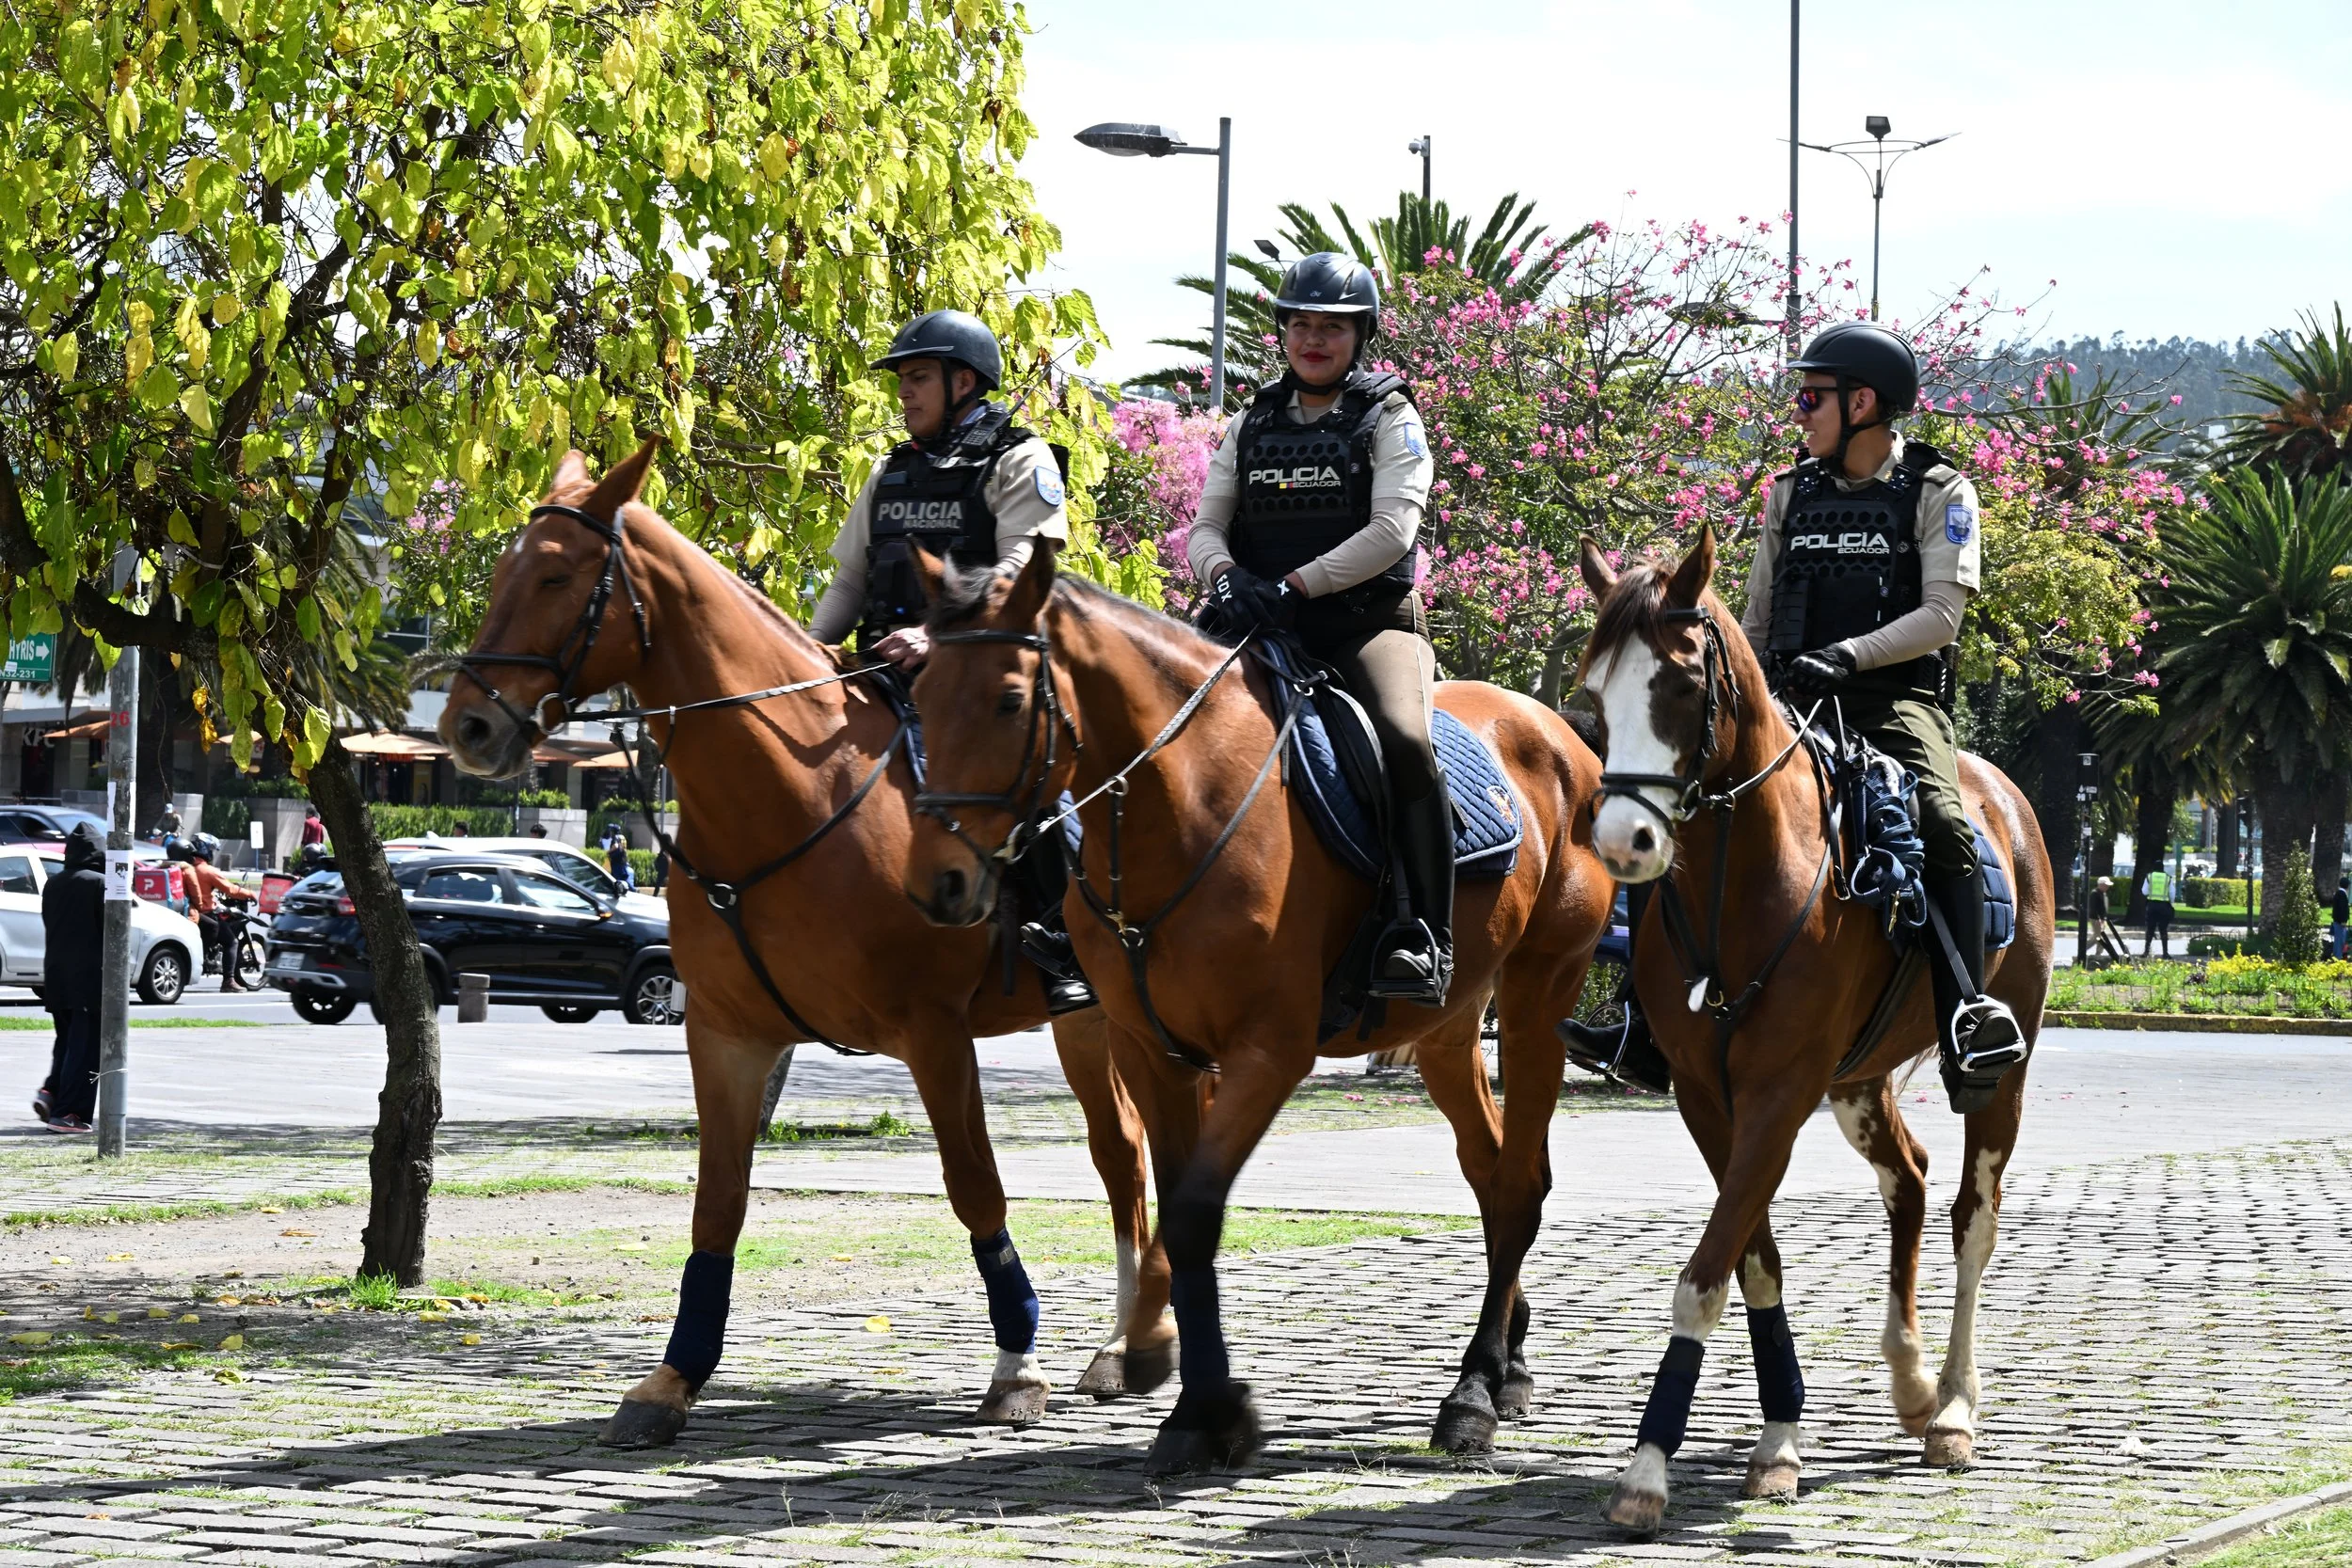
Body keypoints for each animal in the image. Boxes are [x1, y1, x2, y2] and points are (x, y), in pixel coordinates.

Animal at [438, 440, 1169, 1445]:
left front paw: (1016, 1362)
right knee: (1122, 1155)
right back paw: (1127, 1342)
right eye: (503, 572)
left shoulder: (933, 1035)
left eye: (554, 574)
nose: (466, 726)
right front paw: (673, 1376)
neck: (796, 800)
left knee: (1132, 1155)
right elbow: (718, 1203)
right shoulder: (728, 1035)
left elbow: (974, 1184)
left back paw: (1136, 1339)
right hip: (1085, 1023)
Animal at [898, 543, 1615, 1474]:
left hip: (1539, 996)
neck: (1184, 804)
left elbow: (1196, 1211)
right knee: (1494, 1175)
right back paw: (1509, 1366)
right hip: (1449, 1028)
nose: (937, 883)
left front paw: (1209, 1408)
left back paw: (1473, 1393)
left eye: (1010, 699)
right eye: (917, 696)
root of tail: (1562, 736)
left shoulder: (1267, 1053)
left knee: (1521, 1180)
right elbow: (1176, 1209)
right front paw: (1183, 1393)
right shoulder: (1153, 1049)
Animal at [1573, 531, 2054, 1533]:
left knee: (1972, 1219)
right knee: (1909, 1180)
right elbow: (1752, 1262)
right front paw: (1776, 1437)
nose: (1625, 841)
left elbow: (1706, 1275)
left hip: (1998, 1074)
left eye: (1681, 684)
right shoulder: (1708, 1098)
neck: (1744, 882)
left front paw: (1649, 1469)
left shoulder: (1777, 1095)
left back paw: (1954, 1407)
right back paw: (1911, 1382)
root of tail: (2003, 798)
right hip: (1857, 1080)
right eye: (1595, 691)